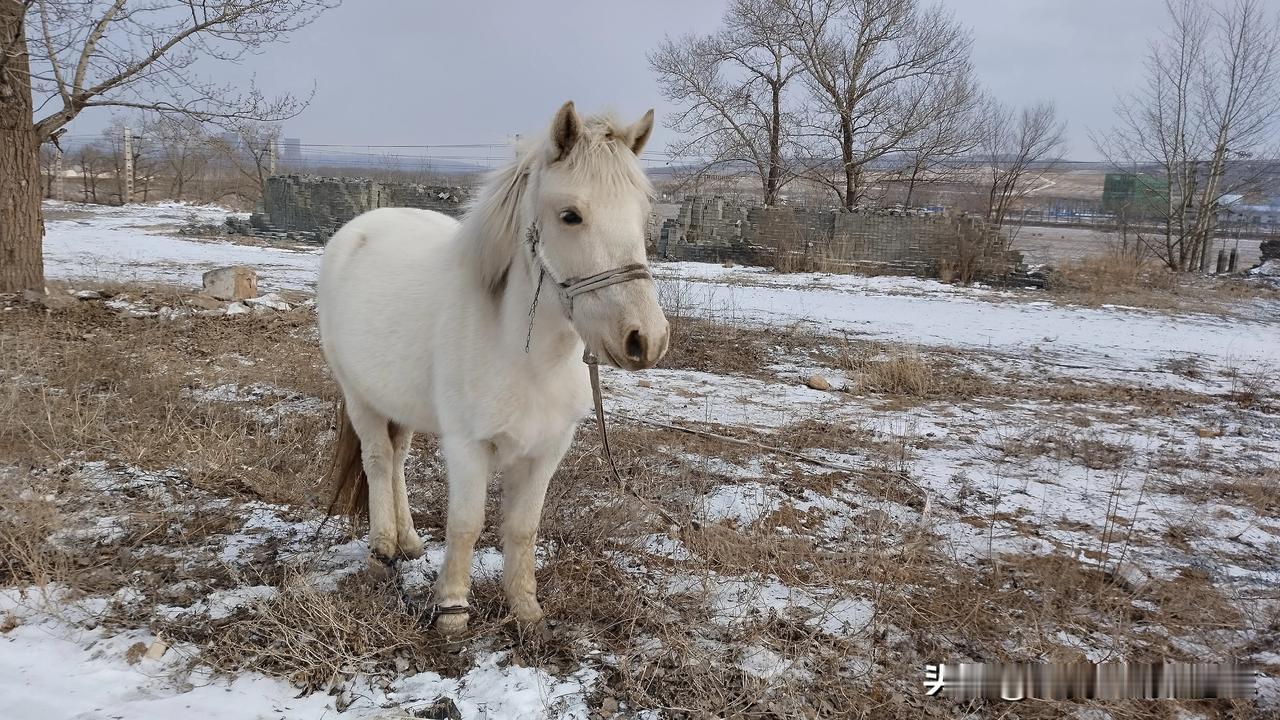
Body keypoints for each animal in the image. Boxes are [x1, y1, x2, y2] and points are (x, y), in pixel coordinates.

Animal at [318, 102, 670, 632]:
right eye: (571, 215)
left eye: (643, 216)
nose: (645, 340)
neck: (524, 358)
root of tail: (357, 230)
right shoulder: (467, 445)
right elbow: (466, 525)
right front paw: (452, 613)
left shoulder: (548, 449)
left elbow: (523, 528)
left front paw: (526, 611)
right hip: (360, 397)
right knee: (378, 461)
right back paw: (382, 551)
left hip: (400, 403)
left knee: (397, 460)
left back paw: (409, 542)